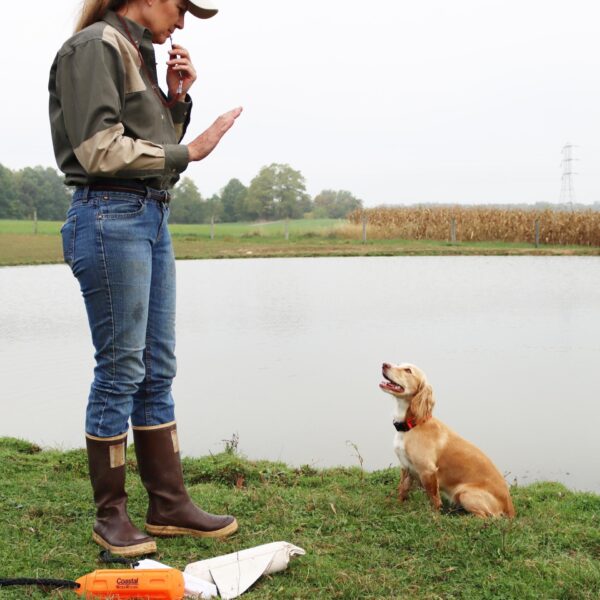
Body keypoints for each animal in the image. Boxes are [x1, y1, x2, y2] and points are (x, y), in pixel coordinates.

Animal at [380, 364, 516, 516]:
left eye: (408, 370)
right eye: (399, 364)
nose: (384, 364)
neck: (411, 425)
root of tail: (509, 506)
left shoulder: (428, 471)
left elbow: (434, 499)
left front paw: (434, 516)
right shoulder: (406, 467)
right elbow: (402, 490)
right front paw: (397, 507)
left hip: (464, 493)